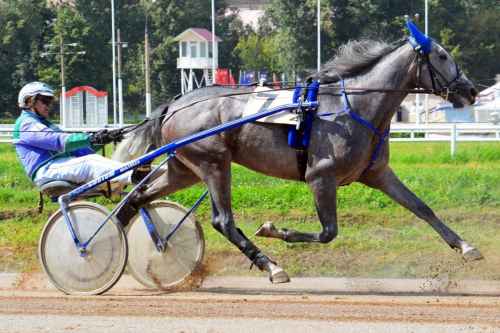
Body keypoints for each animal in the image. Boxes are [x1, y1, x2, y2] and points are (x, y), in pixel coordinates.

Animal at [113, 26, 480, 282]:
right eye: (442, 56)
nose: (471, 89)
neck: (354, 106)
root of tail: (174, 104)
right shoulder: (321, 176)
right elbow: (328, 232)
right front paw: (273, 229)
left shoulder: (376, 174)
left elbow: (422, 207)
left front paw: (466, 247)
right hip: (213, 162)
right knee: (223, 221)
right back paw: (271, 266)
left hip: (184, 168)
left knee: (137, 198)